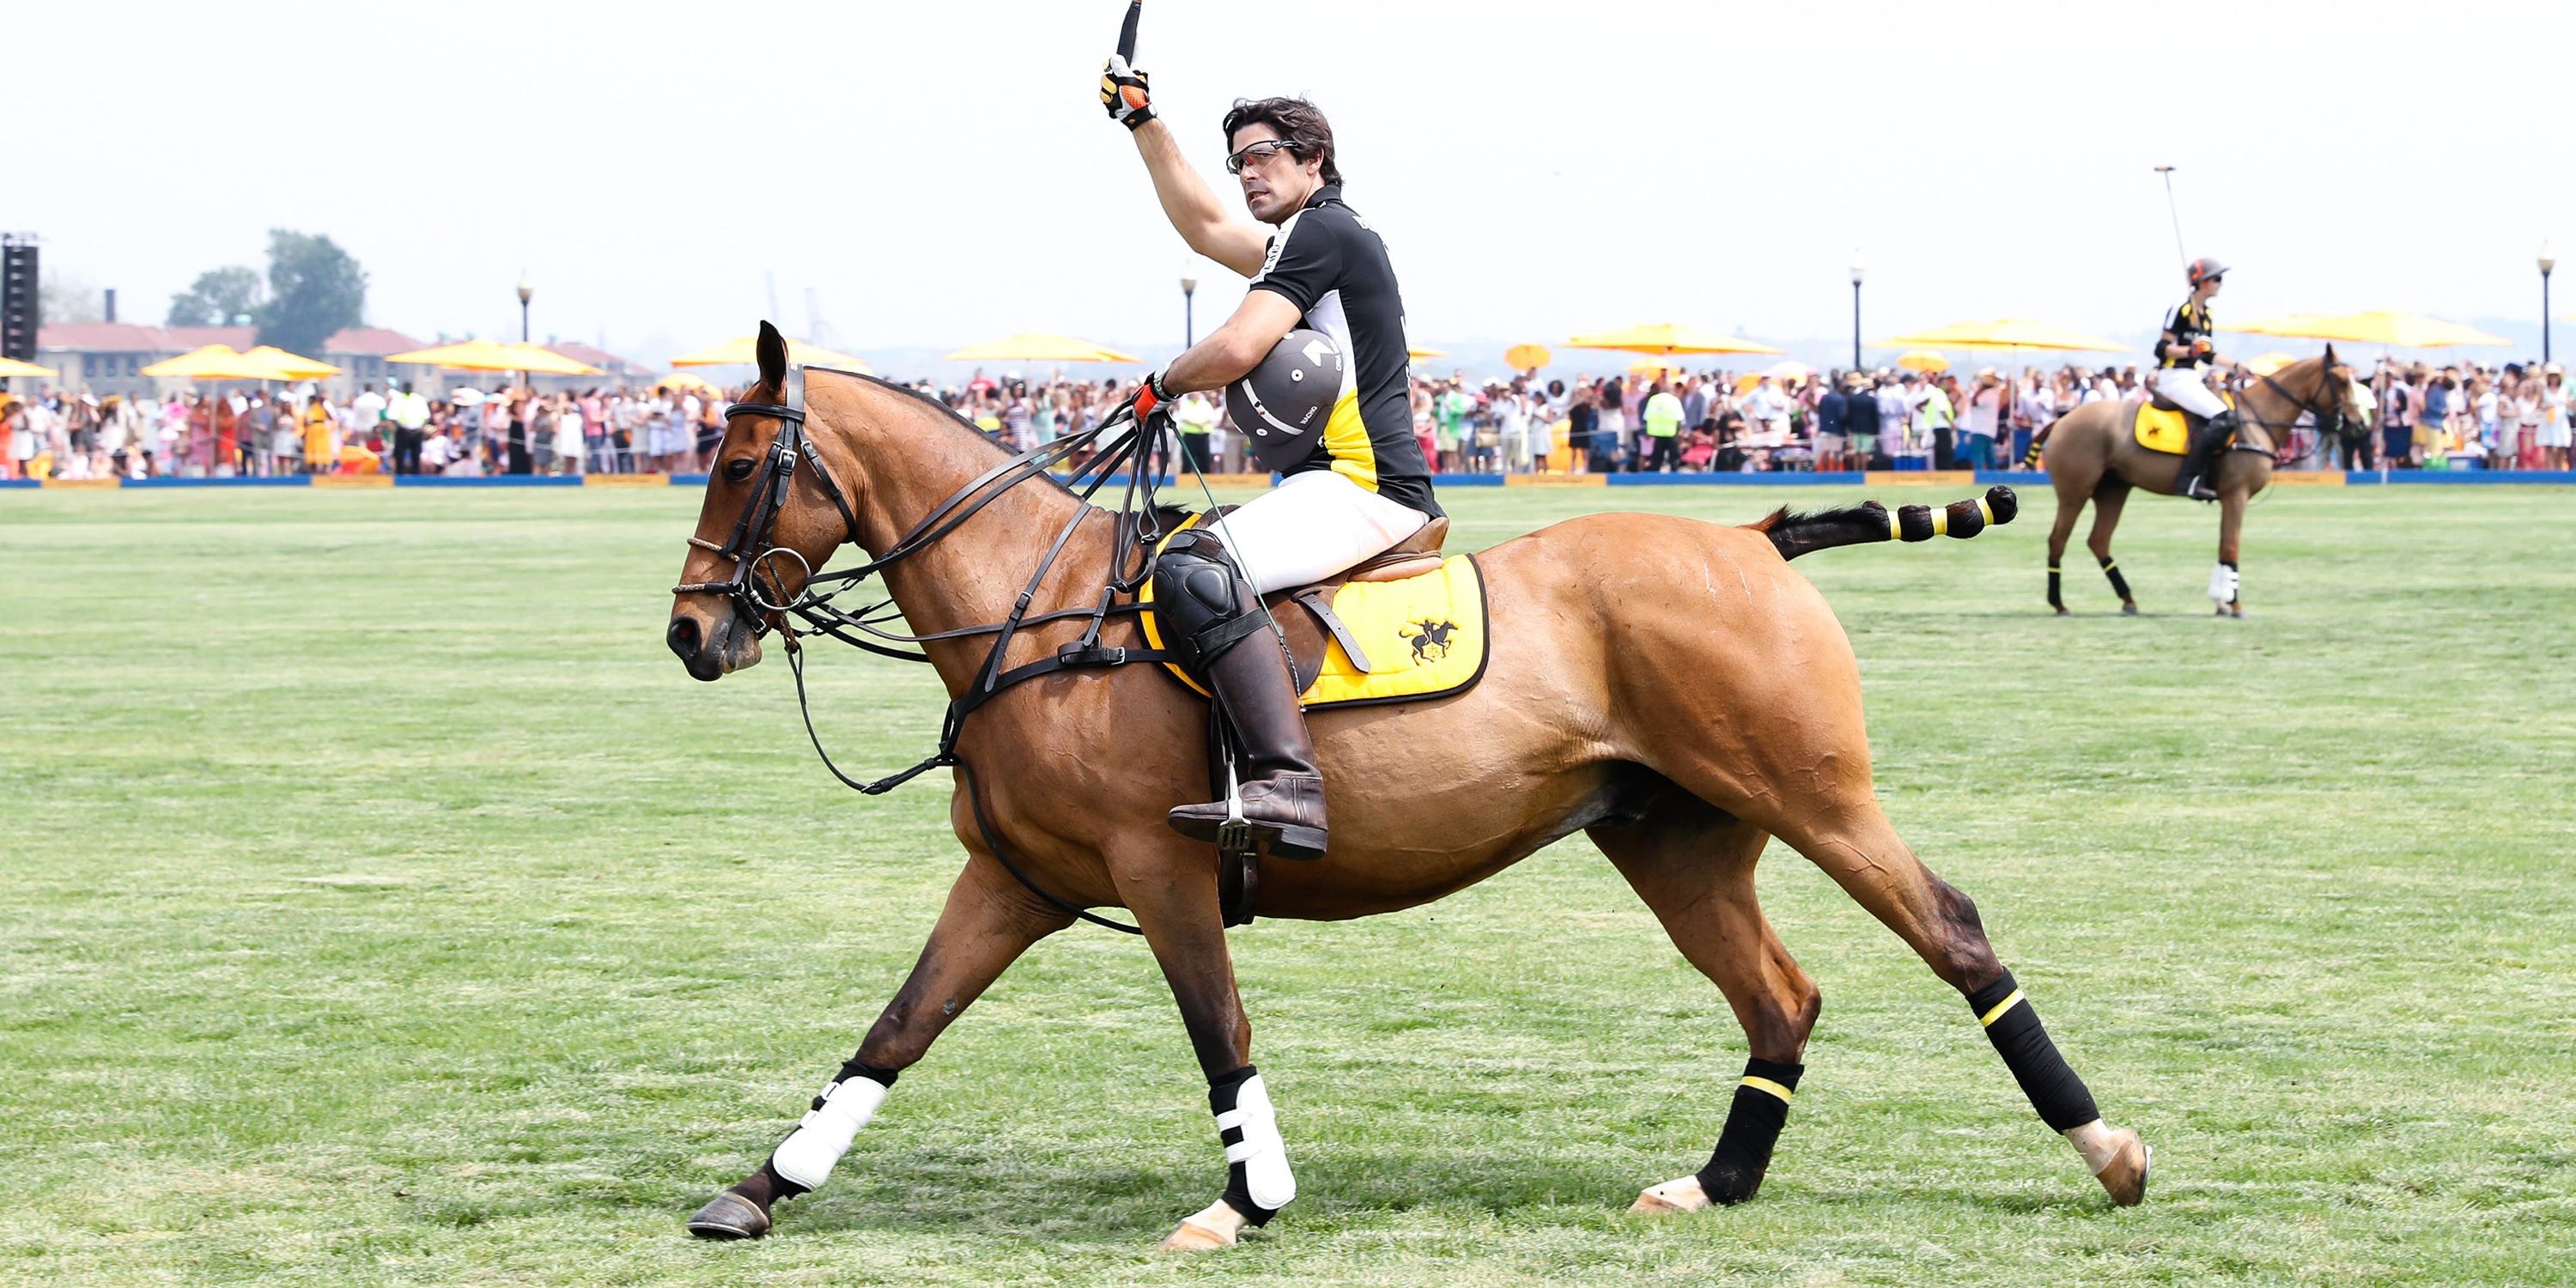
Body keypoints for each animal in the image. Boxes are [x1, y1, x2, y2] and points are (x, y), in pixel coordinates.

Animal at [665, 327, 2154, 1252]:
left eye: (739, 465)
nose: (690, 635)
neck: (1036, 619)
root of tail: (1752, 538)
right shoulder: (1014, 879)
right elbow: (897, 1029)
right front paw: (759, 1189)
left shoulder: (1161, 870)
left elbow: (1218, 1030)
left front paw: (1247, 1200)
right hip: (1675, 839)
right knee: (1780, 995)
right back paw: (1716, 1182)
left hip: (1816, 796)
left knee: (1953, 931)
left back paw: (2107, 1149)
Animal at [2020, 350, 2360, 616]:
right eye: (2342, 381)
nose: (2357, 424)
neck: (2258, 420)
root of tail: (2061, 420)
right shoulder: (2236, 494)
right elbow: (2231, 546)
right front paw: (2235, 605)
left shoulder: (2229, 498)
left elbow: (2223, 546)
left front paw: (2222, 603)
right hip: (2075, 492)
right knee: (2057, 540)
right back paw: (2059, 603)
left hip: (2114, 490)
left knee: (2098, 540)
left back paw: (2128, 600)